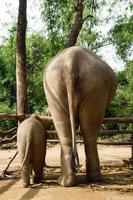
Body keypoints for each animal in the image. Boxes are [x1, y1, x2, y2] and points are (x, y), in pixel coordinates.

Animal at [43, 46, 117, 187]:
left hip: (90, 86)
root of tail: (71, 61)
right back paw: (74, 180)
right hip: (91, 87)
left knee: (81, 130)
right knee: (87, 131)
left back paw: (71, 181)